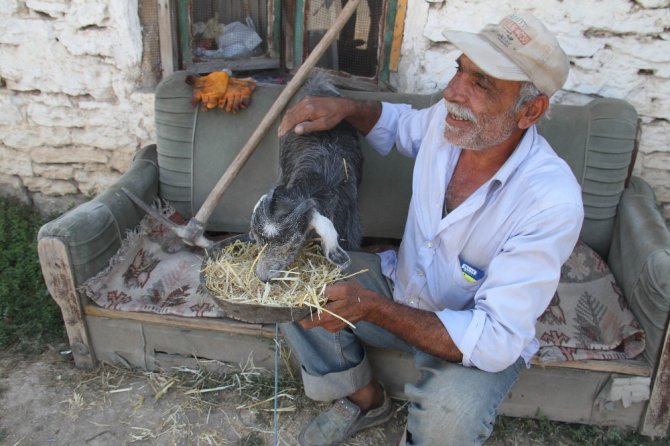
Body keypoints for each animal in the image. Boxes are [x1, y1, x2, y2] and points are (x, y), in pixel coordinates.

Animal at [251, 75, 364, 280]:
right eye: (257, 239)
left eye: (295, 242)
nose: (263, 276)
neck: (318, 182)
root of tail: (318, 87)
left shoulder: (350, 225)